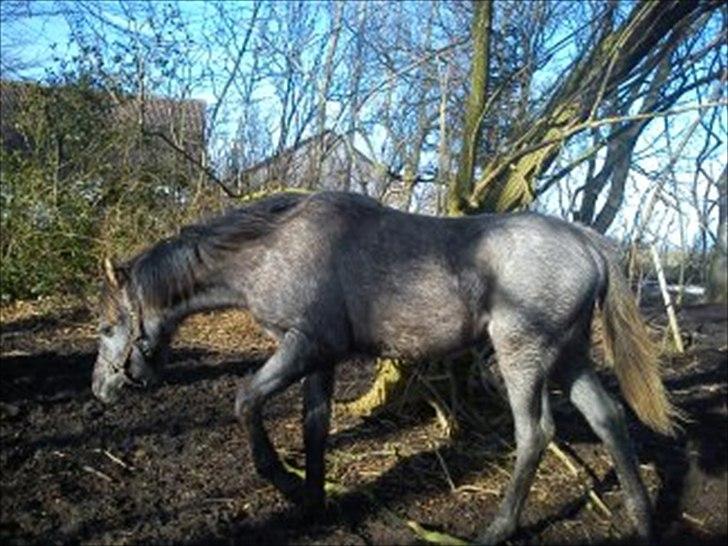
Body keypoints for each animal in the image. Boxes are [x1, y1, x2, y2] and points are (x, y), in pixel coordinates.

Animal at [92, 190, 679, 544]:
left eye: (105, 327)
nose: (99, 389)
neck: (274, 249)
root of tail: (589, 244)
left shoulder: (301, 347)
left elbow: (246, 400)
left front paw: (282, 480)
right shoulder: (320, 358)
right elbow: (314, 427)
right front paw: (313, 502)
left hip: (524, 356)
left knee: (536, 433)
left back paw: (499, 527)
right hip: (569, 356)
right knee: (609, 418)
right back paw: (641, 518)